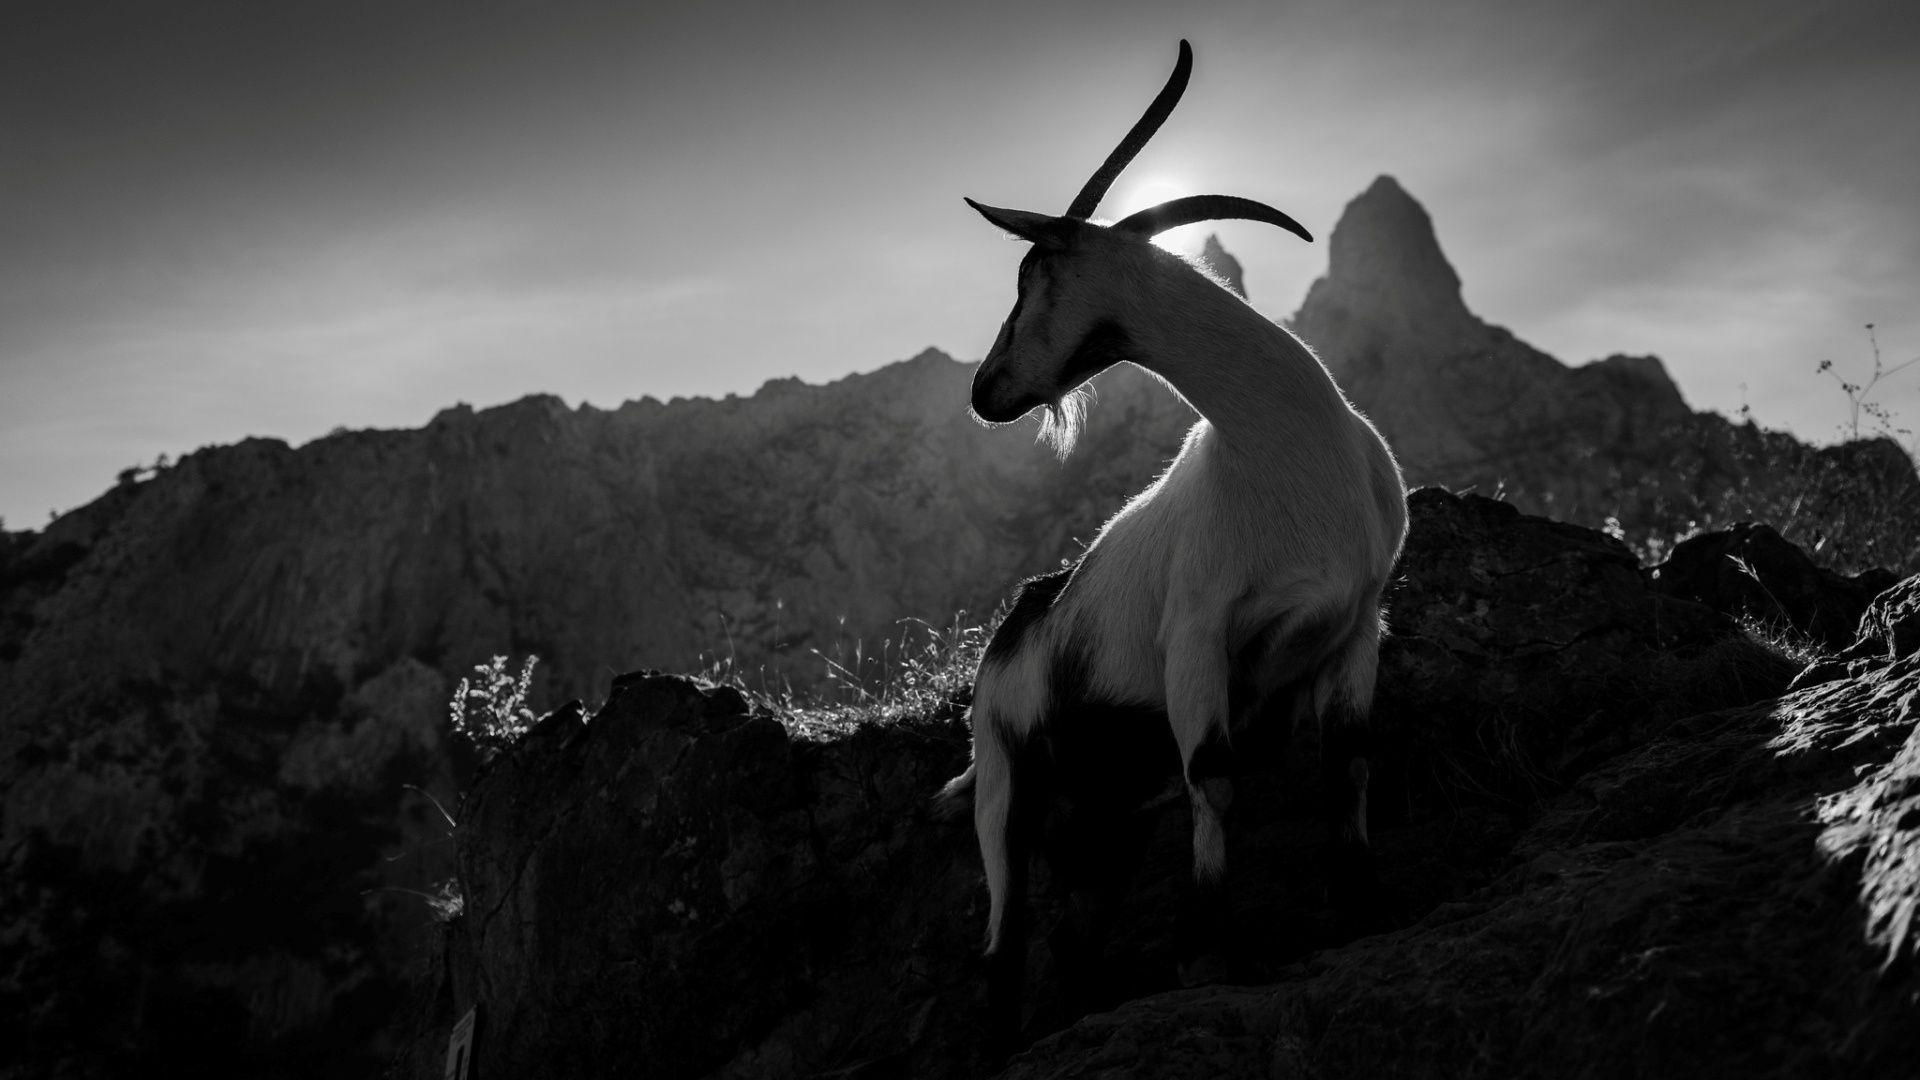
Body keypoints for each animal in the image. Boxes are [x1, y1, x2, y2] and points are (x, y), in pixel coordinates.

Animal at [938, 40, 1409, 1052]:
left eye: (1031, 278)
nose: (986, 390)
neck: (1280, 450)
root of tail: (1015, 626)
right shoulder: (1197, 637)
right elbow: (1216, 782)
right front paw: (1210, 957)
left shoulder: (1357, 626)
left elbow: (1347, 761)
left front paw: (1362, 911)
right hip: (1004, 780)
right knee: (1004, 939)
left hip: (1103, 808)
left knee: (1071, 931)